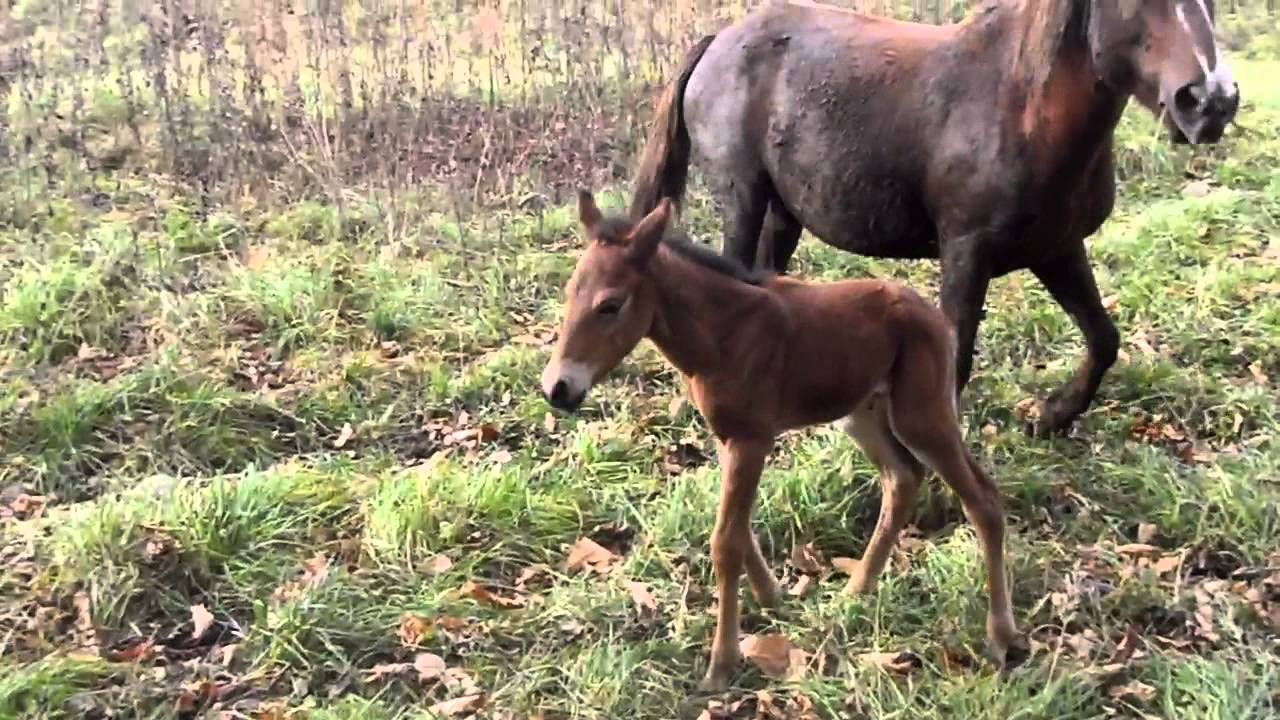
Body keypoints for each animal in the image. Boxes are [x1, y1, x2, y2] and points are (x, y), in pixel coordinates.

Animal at [540, 190, 1021, 691]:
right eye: (569, 293)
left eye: (610, 305)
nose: (557, 388)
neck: (720, 333)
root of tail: (936, 319)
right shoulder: (729, 437)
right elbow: (738, 527)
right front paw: (773, 597)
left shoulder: (752, 438)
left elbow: (726, 542)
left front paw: (722, 663)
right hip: (863, 414)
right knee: (903, 478)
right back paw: (857, 589)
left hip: (921, 415)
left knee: (982, 500)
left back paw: (1002, 636)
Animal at [628, 0, 1239, 436]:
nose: (1211, 101)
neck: (1022, 105)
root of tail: (718, 42)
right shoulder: (966, 252)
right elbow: (957, 363)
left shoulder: (1057, 249)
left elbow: (1104, 338)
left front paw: (1050, 417)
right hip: (743, 195)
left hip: (784, 211)